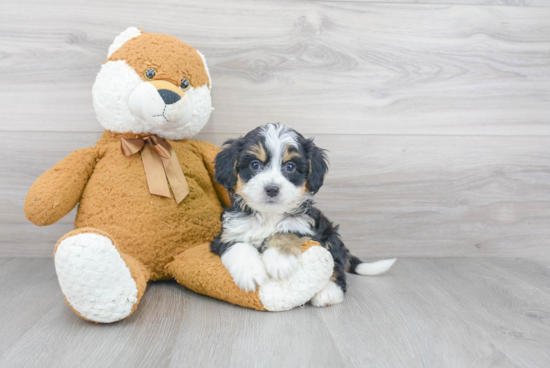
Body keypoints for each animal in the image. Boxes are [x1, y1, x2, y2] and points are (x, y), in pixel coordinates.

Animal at [211, 125, 396, 306]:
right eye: (255, 165)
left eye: (290, 166)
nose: (272, 189)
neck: (269, 214)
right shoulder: (229, 232)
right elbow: (239, 246)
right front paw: (250, 273)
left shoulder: (305, 226)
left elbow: (285, 232)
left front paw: (279, 260)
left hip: (330, 236)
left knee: (336, 265)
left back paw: (328, 293)